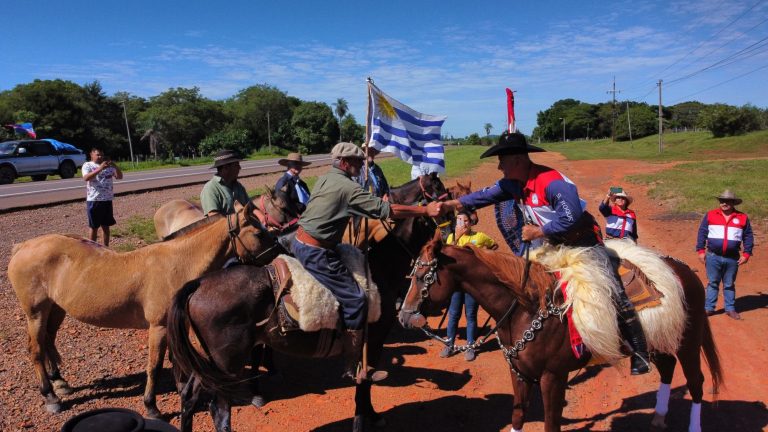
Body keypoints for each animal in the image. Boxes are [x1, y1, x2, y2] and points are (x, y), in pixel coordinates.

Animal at [8, 192, 296, 418]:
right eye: (258, 232)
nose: (285, 254)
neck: (178, 263)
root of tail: (22, 246)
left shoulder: (172, 324)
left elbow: (176, 359)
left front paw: (182, 390)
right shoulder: (157, 327)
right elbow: (155, 366)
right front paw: (152, 407)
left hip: (55, 309)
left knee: (48, 340)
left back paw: (60, 382)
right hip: (35, 312)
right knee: (35, 350)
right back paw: (51, 397)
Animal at [165, 176, 448, 432]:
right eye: (434, 215)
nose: (449, 236)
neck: (379, 270)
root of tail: (197, 284)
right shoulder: (374, 341)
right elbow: (364, 382)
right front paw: (370, 416)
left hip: (207, 362)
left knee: (189, 397)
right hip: (227, 364)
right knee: (219, 410)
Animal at [400, 235, 724, 432]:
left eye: (424, 276)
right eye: (411, 273)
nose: (403, 316)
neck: (526, 308)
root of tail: (685, 271)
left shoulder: (553, 377)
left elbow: (550, 423)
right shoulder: (519, 373)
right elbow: (518, 416)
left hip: (688, 341)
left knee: (696, 382)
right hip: (659, 339)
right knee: (668, 368)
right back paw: (658, 417)